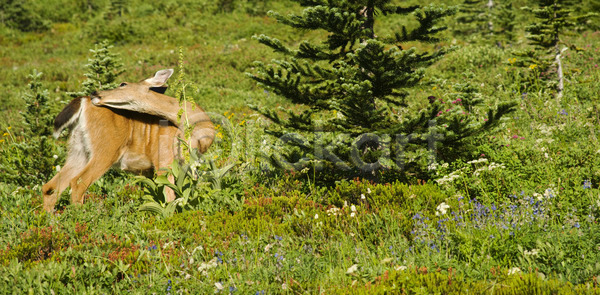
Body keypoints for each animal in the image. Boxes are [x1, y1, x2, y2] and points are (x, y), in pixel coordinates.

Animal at [40, 69, 213, 213]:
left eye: (123, 83)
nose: (95, 93)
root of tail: (83, 102)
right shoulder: (163, 158)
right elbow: (170, 197)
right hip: (107, 148)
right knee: (78, 182)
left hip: (78, 150)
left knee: (51, 186)